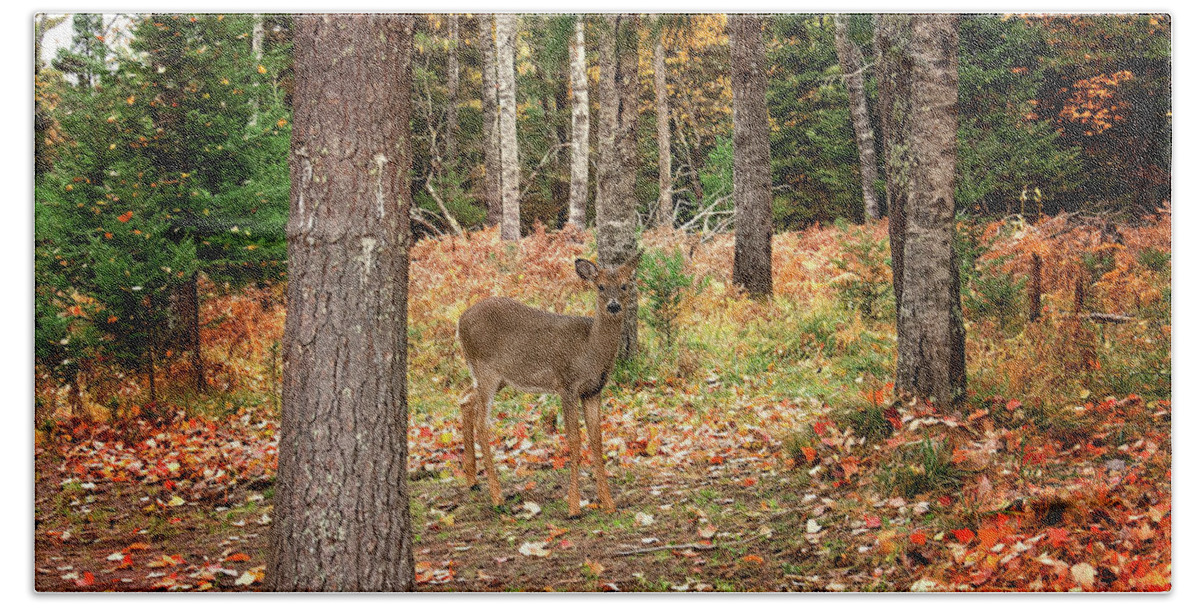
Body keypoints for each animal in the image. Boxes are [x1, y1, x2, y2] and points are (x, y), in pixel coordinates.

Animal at [456, 251, 643, 518]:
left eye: (625, 285)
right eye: (600, 286)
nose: (614, 305)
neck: (590, 351)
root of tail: (460, 321)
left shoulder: (593, 390)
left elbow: (597, 439)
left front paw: (608, 503)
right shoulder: (567, 384)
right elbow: (574, 439)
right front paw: (574, 507)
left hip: (498, 377)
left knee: (465, 399)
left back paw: (472, 481)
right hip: (485, 369)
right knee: (483, 423)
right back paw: (497, 497)